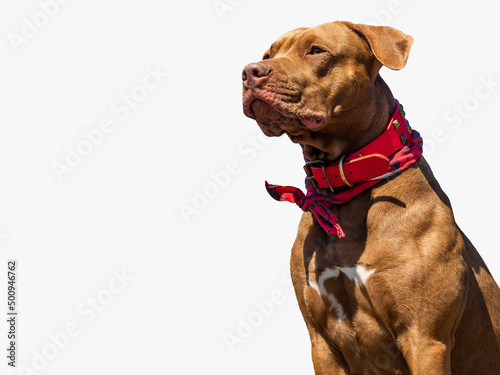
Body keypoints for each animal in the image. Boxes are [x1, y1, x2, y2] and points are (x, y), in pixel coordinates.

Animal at [242, 21, 500, 375]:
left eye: (316, 50)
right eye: (269, 54)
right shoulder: (322, 343)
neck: (344, 190)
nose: (249, 72)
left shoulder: (425, 338)